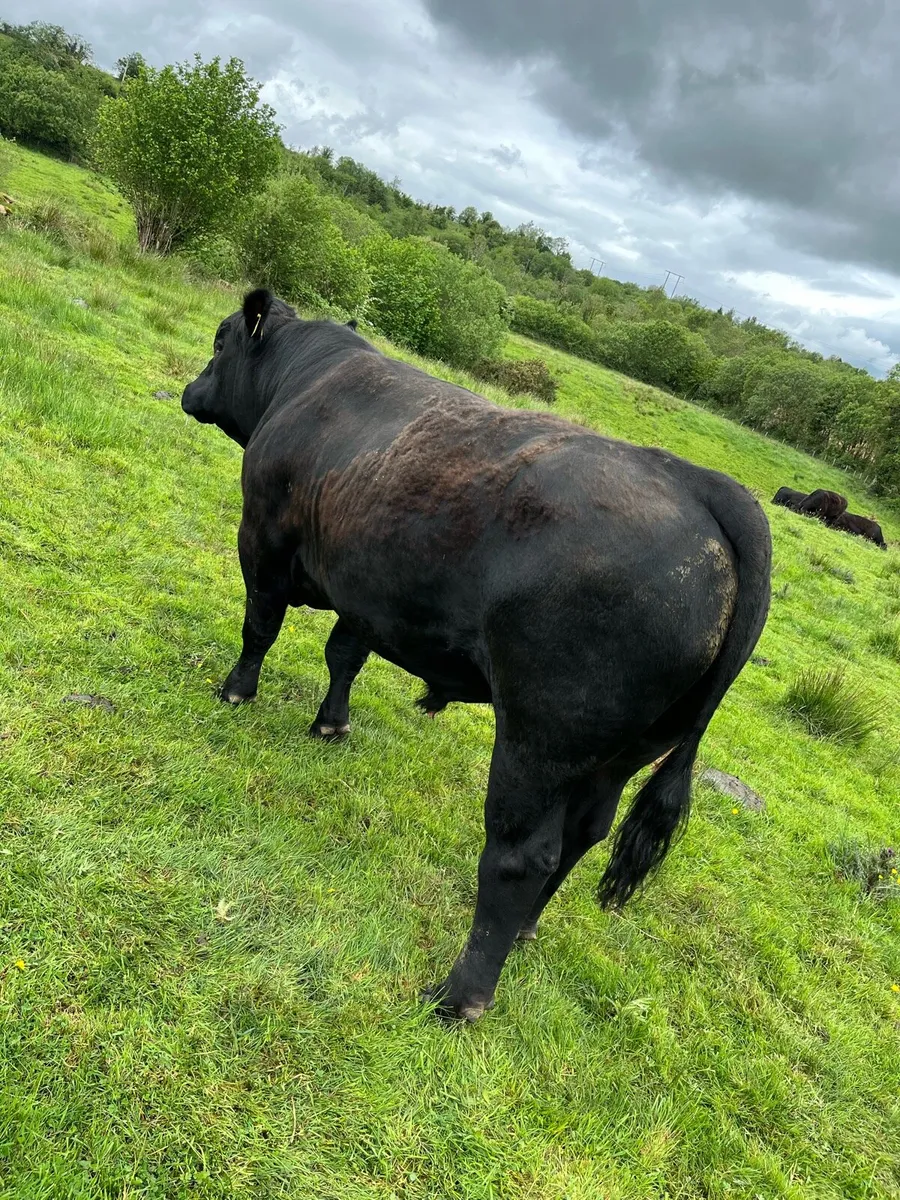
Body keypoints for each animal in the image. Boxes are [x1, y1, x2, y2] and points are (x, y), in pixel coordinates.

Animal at [181, 289, 772, 1022]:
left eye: (221, 339)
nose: (190, 390)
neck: (305, 380)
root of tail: (701, 483)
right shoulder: (368, 590)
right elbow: (344, 654)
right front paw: (330, 724)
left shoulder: (262, 538)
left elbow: (258, 629)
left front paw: (236, 690)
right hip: (625, 752)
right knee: (585, 833)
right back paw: (523, 932)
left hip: (539, 740)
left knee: (522, 857)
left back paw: (460, 994)